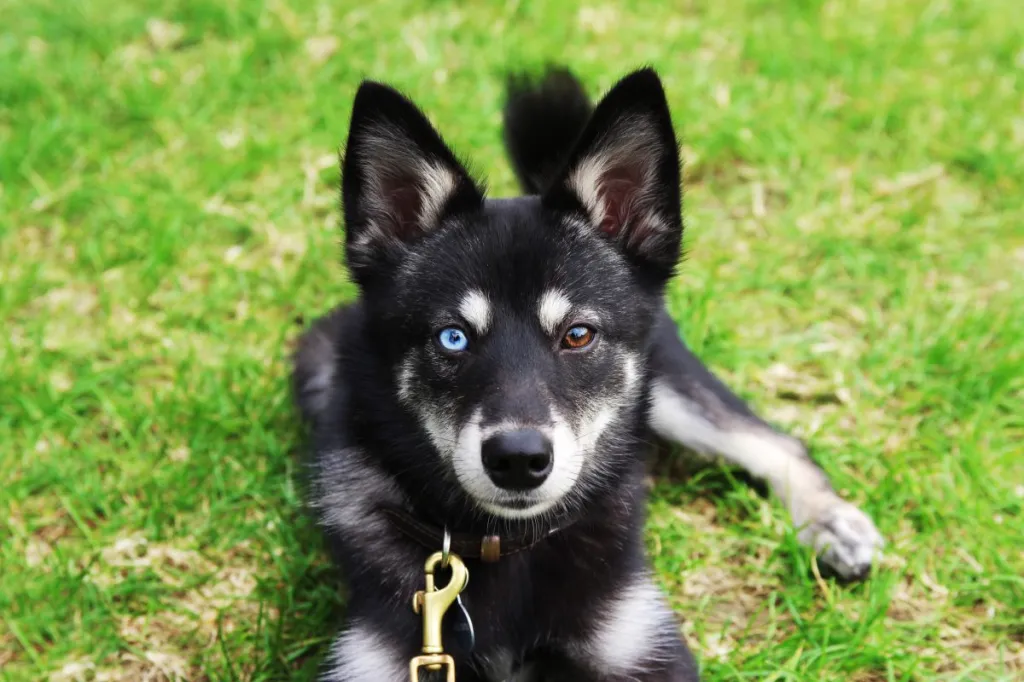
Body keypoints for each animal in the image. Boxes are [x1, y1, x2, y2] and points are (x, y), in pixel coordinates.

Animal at [292, 65, 884, 679]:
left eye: (578, 334)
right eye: (452, 337)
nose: (518, 460)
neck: (505, 543)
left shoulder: (641, 643)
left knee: (774, 440)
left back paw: (831, 524)